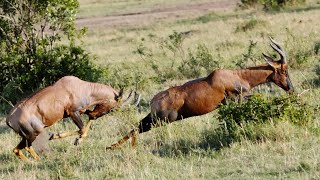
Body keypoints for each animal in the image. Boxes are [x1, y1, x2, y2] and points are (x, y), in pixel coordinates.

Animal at [6, 75, 136, 160]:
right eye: (112, 108)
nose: (95, 115)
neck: (81, 87)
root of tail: (9, 119)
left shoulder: (82, 111)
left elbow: (85, 127)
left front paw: (72, 139)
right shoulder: (73, 112)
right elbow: (82, 129)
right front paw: (70, 139)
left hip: (26, 136)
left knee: (16, 150)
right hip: (32, 134)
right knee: (27, 147)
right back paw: (40, 161)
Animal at [108, 37, 296, 149]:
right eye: (284, 70)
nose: (291, 89)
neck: (235, 75)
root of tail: (154, 100)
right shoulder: (236, 99)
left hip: (154, 118)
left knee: (135, 127)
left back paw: (112, 147)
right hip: (161, 119)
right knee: (138, 128)